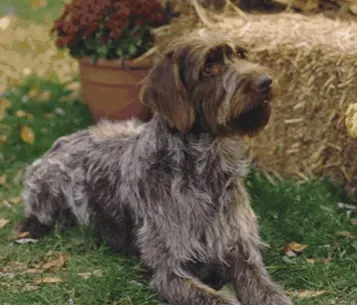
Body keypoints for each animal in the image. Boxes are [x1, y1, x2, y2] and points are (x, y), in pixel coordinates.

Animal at [16, 29, 290, 304]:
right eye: (208, 67)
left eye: (241, 55)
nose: (266, 81)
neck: (205, 171)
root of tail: (63, 140)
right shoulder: (170, 272)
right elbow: (215, 298)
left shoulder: (244, 255)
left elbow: (269, 291)